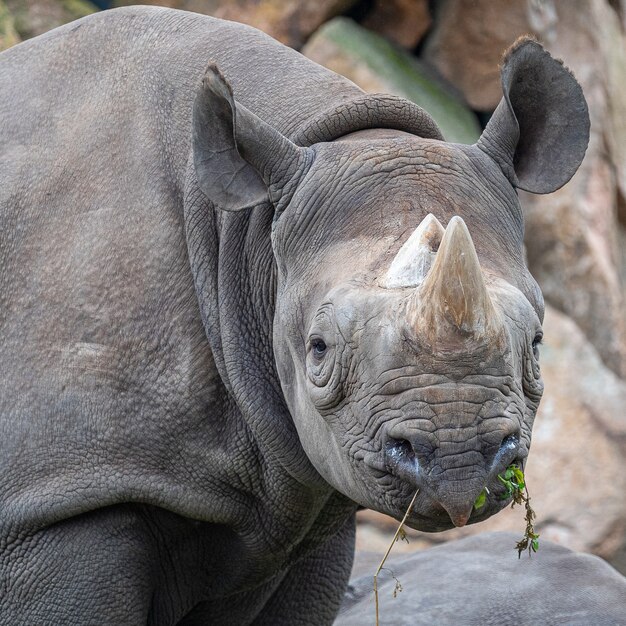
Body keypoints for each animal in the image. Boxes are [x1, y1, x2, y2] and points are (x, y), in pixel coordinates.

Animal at [0, 6, 584, 624]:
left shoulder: (311, 501)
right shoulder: (62, 496)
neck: (251, 238)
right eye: (318, 349)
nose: (458, 461)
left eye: (538, 343)